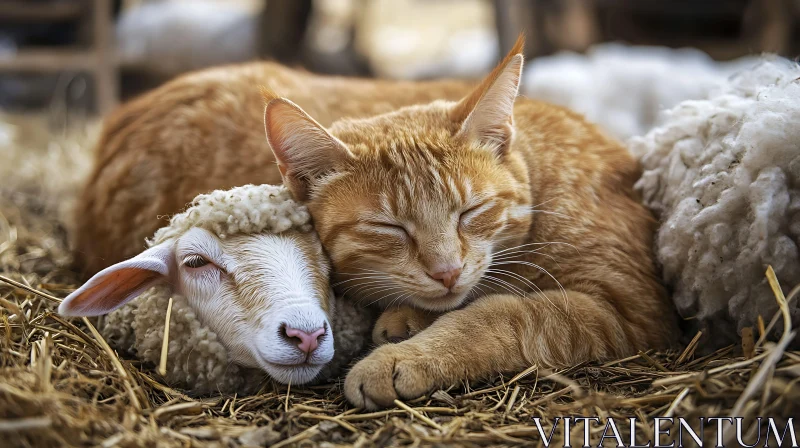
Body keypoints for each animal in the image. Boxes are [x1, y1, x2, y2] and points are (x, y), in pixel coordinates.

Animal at [264, 38, 680, 410]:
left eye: (470, 211)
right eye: (390, 228)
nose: (446, 272)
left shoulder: (625, 304)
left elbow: (501, 314)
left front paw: (407, 356)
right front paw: (411, 317)